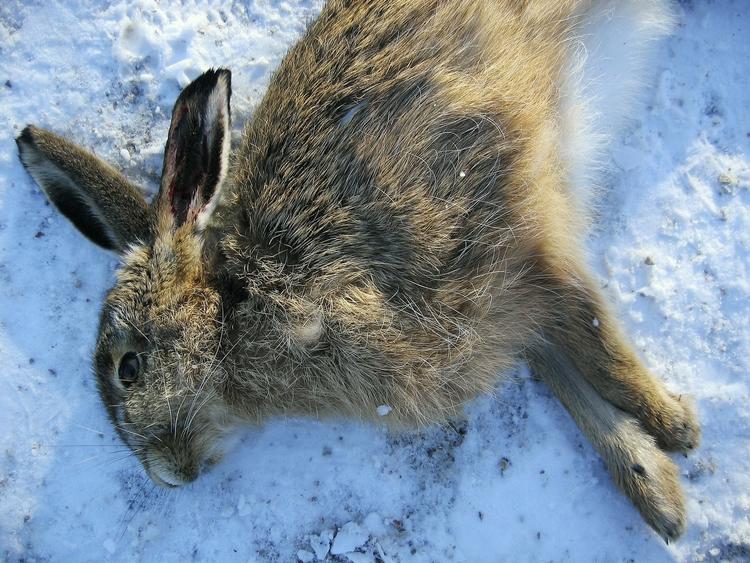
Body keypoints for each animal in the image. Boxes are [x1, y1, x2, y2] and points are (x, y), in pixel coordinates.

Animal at [16, 0, 700, 541]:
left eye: (128, 367)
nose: (166, 477)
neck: (241, 300)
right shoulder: (508, 310)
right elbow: (565, 369)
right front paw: (656, 487)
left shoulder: (511, 225)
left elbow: (590, 328)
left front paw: (675, 425)